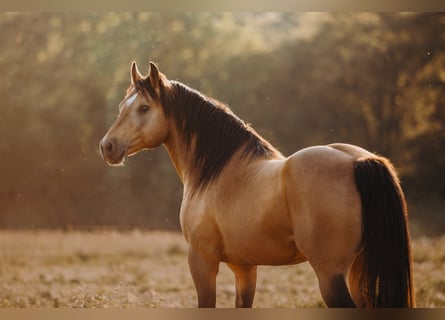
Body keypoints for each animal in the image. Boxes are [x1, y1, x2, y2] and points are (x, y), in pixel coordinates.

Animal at [99, 60, 414, 308]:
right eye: (122, 107)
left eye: (143, 107)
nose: (107, 146)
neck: (217, 171)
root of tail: (358, 161)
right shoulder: (245, 268)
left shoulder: (202, 261)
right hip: (360, 270)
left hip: (331, 276)